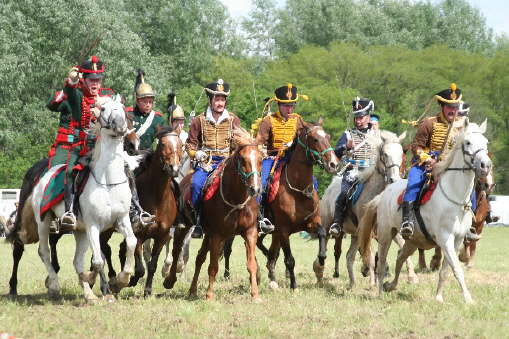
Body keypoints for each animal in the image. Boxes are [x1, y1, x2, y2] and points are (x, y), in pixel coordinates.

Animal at [7, 98, 137, 302]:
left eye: (123, 109)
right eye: (102, 109)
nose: (120, 125)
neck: (108, 181)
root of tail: (42, 174)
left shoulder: (121, 220)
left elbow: (131, 243)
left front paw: (119, 281)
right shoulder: (93, 225)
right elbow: (98, 261)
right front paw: (100, 283)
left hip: (80, 231)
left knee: (77, 261)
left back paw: (89, 294)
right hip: (43, 221)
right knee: (43, 251)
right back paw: (53, 285)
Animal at [165, 129, 264, 300]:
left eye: (260, 159)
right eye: (242, 159)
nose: (255, 189)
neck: (236, 199)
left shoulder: (250, 232)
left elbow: (251, 264)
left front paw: (255, 294)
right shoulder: (218, 234)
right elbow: (213, 266)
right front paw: (210, 295)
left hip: (209, 234)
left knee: (200, 257)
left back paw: (192, 290)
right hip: (186, 227)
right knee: (177, 249)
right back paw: (170, 280)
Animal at [256, 121, 340, 290]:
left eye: (328, 137)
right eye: (315, 139)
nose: (333, 164)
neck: (298, 191)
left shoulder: (310, 224)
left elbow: (322, 234)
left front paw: (320, 262)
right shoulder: (283, 231)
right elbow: (289, 260)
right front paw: (294, 285)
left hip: (273, 234)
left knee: (271, 255)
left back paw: (272, 278)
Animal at [320, 130, 414, 290]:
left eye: (401, 154)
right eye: (385, 154)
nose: (394, 180)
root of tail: (329, 189)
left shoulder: (388, 229)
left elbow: (402, 246)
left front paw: (412, 277)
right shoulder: (367, 230)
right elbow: (369, 255)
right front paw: (372, 283)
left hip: (355, 235)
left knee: (349, 256)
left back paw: (352, 283)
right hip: (328, 227)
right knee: (324, 247)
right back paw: (319, 273)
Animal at [358, 120, 488, 306]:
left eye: (486, 143)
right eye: (468, 142)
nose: (486, 165)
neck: (454, 195)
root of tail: (384, 194)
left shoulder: (457, 241)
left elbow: (446, 270)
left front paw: (439, 297)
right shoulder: (445, 239)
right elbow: (457, 269)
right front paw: (468, 299)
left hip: (412, 241)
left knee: (400, 257)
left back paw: (392, 285)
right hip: (385, 235)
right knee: (382, 263)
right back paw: (381, 292)